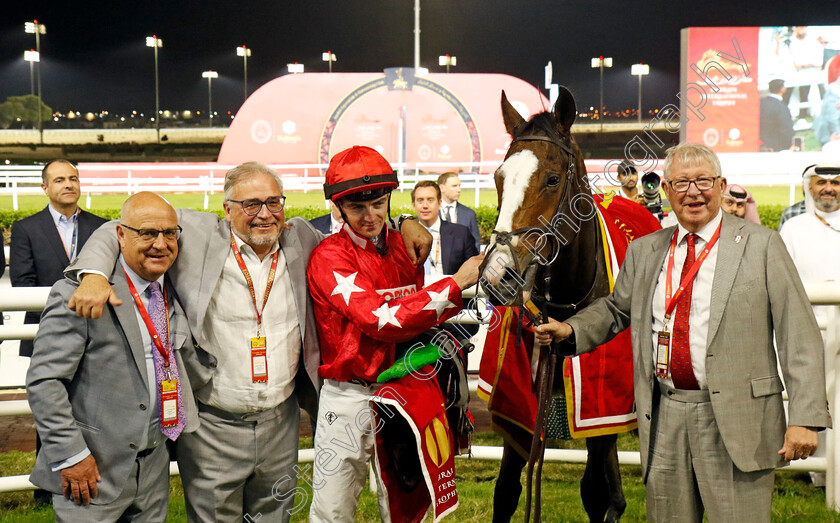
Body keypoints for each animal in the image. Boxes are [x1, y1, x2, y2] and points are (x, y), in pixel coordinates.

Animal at [480, 88, 632, 520]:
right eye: (498, 177)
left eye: (552, 179)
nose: (498, 275)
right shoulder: (519, 401)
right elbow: (506, 490)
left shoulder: (602, 407)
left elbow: (595, 493)